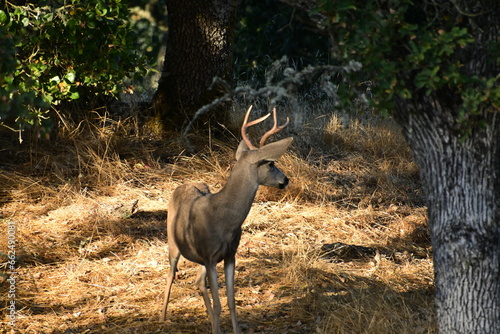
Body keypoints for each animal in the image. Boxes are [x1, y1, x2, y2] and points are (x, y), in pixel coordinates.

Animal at [160, 105, 292, 334]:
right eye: (271, 163)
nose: (286, 180)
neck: (224, 218)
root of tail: (181, 185)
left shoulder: (229, 255)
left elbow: (230, 302)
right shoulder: (210, 257)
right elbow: (219, 304)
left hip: (201, 259)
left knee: (198, 281)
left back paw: (211, 323)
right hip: (172, 242)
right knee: (171, 274)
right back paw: (162, 317)